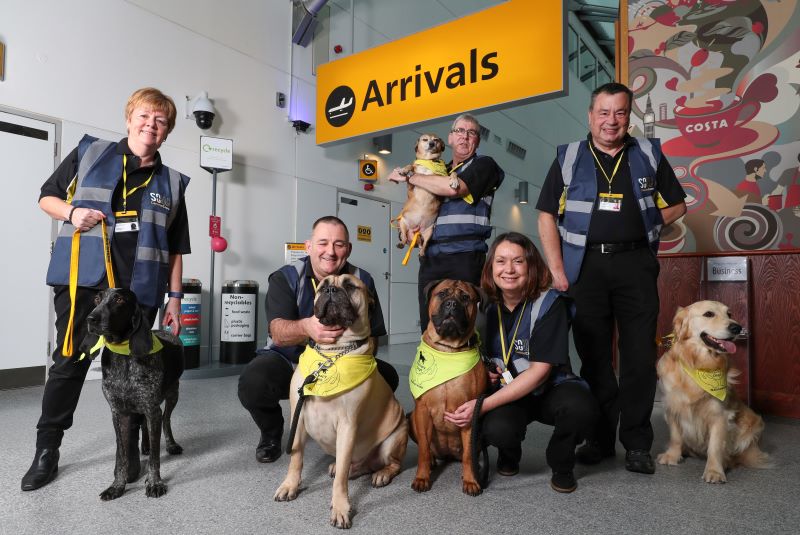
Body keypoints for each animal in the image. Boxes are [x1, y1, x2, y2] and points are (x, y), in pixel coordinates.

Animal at [84, 292, 184, 500]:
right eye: (97, 299)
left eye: (119, 300)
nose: (91, 318)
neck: (123, 356)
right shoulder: (119, 413)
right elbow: (122, 456)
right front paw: (117, 486)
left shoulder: (152, 408)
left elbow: (155, 457)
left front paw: (154, 483)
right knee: (145, 424)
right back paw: (144, 446)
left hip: (173, 394)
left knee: (166, 420)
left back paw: (171, 445)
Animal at [276, 276, 412, 532]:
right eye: (322, 287)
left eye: (349, 286)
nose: (331, 290)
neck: (333, 353)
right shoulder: (298, 418)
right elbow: (296, 459)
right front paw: (290, 485)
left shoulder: (348, 426)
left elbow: (339, 480)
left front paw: (340, 507)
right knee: (357, 465)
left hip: (394, 439)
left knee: (392, 464)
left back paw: (381, 474)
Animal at [410, 278, 484, 496]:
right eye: (442, 294)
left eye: (466, 297)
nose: (452, 304)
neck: (448, 350)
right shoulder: (422, 411)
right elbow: (423, 450)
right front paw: (422, 477)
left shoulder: (468, 414)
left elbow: (468, 455)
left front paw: (471, 480)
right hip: (411, 418)